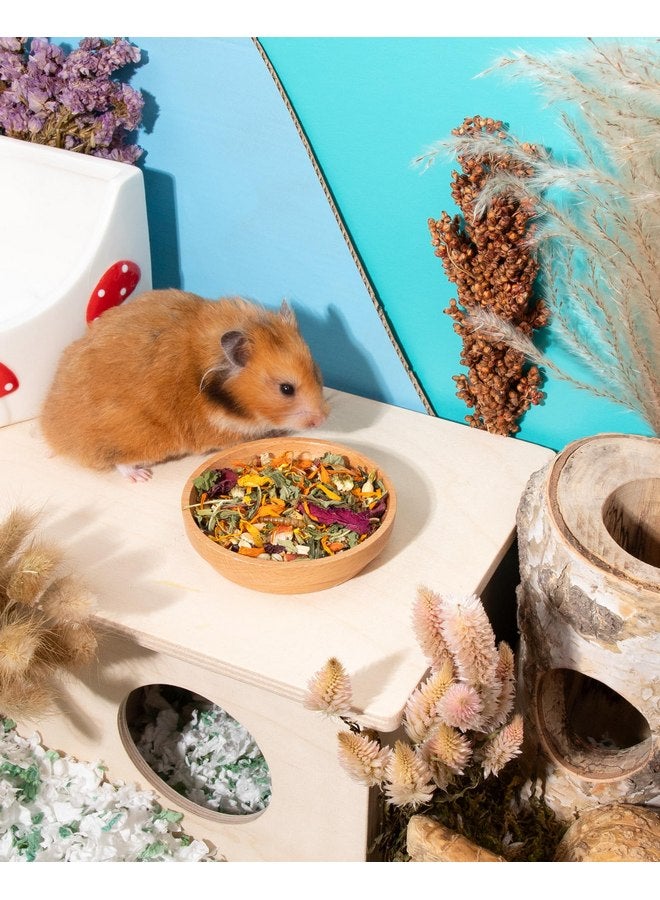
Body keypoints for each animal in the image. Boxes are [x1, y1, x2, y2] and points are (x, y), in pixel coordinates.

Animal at [40, 289, 329, 481]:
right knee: (119, 461)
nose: (323, 420)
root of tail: (53, 435)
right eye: (286, 389)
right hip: (139, 438)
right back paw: (142, 475)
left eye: (316, 371)